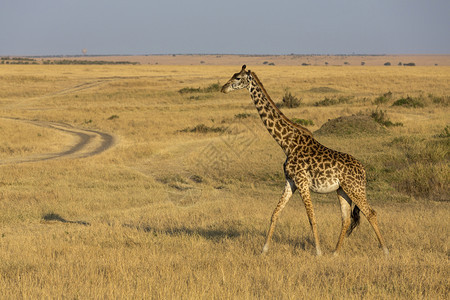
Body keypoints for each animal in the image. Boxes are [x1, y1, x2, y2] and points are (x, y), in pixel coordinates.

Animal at [220, 65, 388, 255]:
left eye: (238, 78)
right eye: (233, 75)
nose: (223, 88)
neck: (286, 143)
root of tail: (364, 170)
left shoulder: (302, 182)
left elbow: (311, 217)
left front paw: (318, 252)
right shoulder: (290, 181)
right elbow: (275, 214)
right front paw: (264, 249)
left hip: (355, 188)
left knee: (371, 213)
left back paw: (385, 251)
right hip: (343, 190)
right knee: (345, 219)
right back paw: (335, 253)